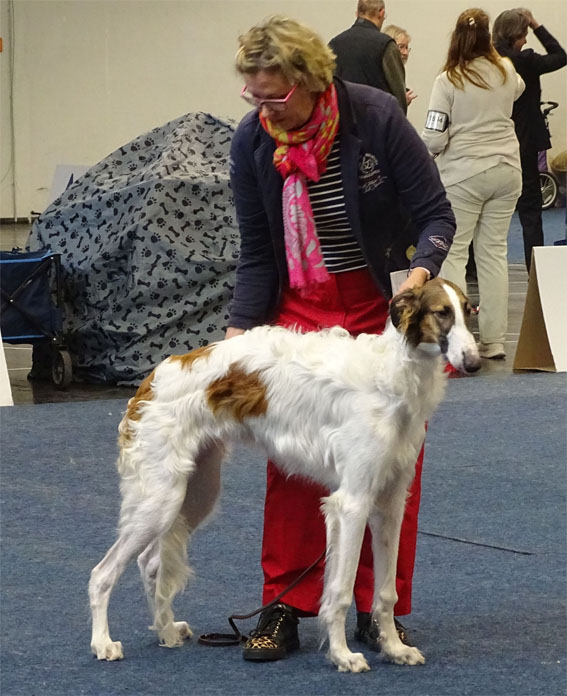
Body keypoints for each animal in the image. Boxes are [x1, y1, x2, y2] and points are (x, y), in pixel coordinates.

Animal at [89, 278, 480, 673]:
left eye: (469, 309)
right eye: (441, 312)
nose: (474, 363)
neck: (393, 374)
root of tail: (154, 377)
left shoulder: (390, 502)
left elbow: (386, 591)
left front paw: (394, 648)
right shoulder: (352, 502)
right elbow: (340, 591)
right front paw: (342, 655)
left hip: (195, 492)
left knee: (151, 563)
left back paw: (167, 631)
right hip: (161, 497)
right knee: (102, 573)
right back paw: (103, 643)